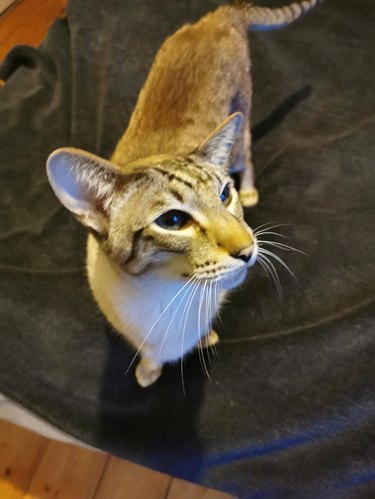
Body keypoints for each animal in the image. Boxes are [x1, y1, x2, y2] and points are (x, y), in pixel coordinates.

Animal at [46, 0, 320, 388]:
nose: (248, 250)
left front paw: (204, 339)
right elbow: (148, 355)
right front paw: (149, 372)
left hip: (239, 130)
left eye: (224, 196)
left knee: (248, 150)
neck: (168, 297)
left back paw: (252, 189)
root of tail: (216, 15)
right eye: (173, 220)